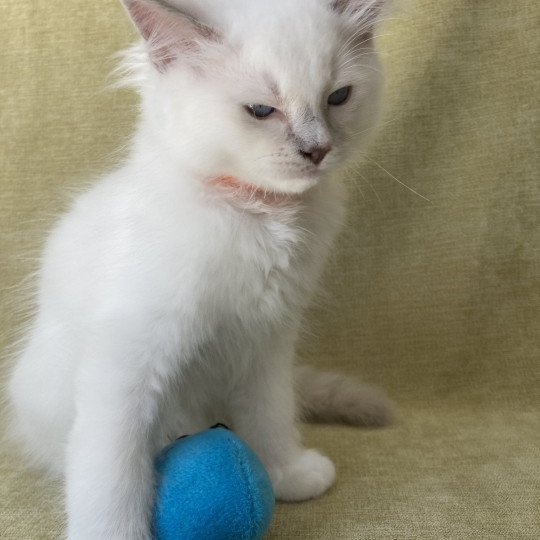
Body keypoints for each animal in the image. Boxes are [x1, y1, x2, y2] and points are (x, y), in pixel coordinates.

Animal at [6, 2, 390, 536]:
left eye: (338, 97)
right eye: (261, 110)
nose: (317, 150)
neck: (258, 214)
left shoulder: (266, 342)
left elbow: (271, 415)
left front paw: (287, 475)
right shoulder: (128, 362)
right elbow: (112, 471)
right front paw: (114, 532)